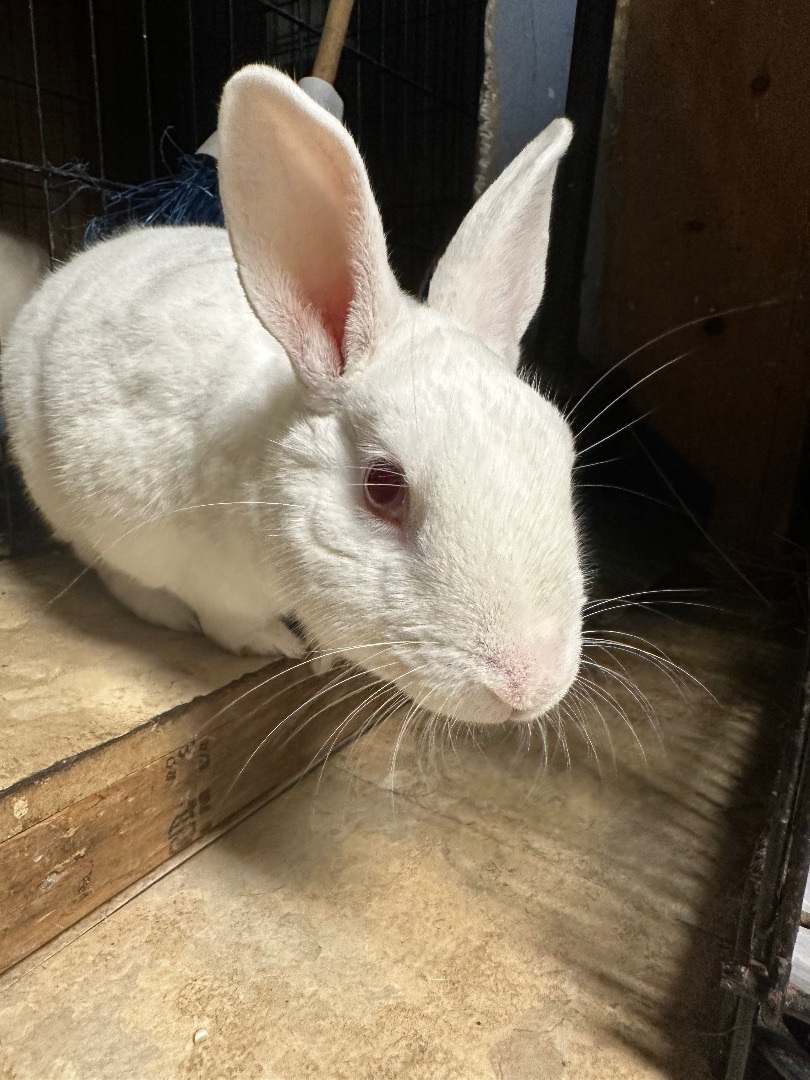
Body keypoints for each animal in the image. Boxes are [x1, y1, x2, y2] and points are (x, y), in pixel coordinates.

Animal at [1, 65, 584, 726]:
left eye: (562, 454)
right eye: (384, 487)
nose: (530, 687)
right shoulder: (212, 582)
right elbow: (230, 622)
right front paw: (279, 645)